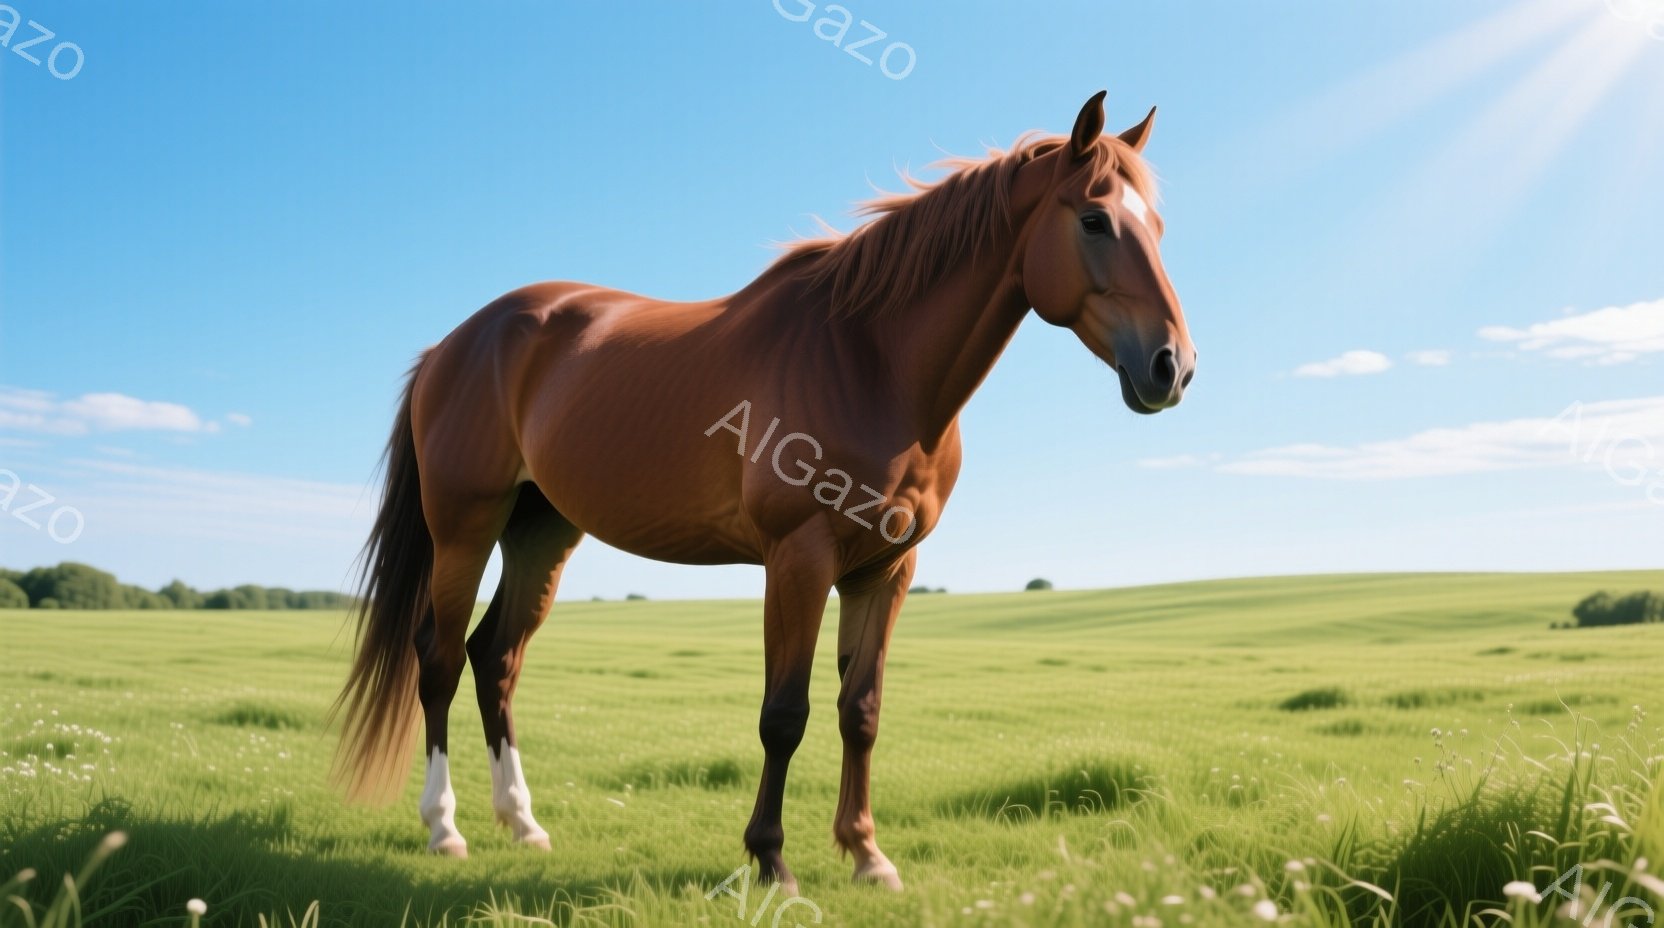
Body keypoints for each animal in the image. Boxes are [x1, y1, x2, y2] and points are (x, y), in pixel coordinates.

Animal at [332, 91, 1196, 893]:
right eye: (1095, 220)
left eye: (1156, 223)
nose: (1172, 367)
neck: (868, 362)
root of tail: (454, 344)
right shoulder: (799, 559)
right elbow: (786, 716)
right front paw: (772, 861)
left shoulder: (887, 570)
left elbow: (860, 711)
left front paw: (867, 855)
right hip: (465, 528)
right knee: (440, 659)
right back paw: (444, 829)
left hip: (541, 532)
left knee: (497, 657)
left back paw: (522, 823)